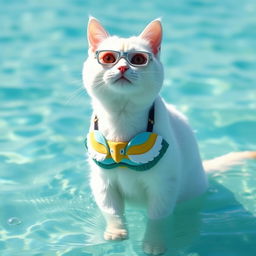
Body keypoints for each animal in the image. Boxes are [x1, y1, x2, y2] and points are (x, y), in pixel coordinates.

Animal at [83, 17, 255, 255]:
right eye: (108, 58)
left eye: (138, 59)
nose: (123, 66)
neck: (122, 117)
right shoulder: (103, 182)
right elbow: (112, 211)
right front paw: (116, 231)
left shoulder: (164, 184)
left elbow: (158, 219)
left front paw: (154, 243)